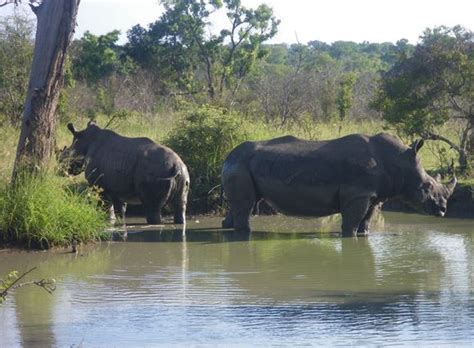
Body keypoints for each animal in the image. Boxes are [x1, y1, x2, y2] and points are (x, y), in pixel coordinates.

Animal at [60, 122, 190, 224]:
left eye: (66, 155)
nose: (60, 171)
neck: (85, 142)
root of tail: (177, 165)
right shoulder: (118, 187)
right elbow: (120, 209)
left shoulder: (98, 184)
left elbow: (106, 206)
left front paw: (108, 220)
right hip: (183, 173)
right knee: (180, 206)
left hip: (157, 172)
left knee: (152, 208)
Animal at [220, 133, 458, 237]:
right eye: (426, 187)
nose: (443, 210)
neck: (397, 161)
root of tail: (226, 157)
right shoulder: (358, 193)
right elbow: (351, 221)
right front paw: (350, 237)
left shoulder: (373, 195)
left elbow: (367, 219)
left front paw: (364, 235)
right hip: (240, 165)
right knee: (245, 205)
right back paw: (244, 234)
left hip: (243, 165)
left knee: (242, 203)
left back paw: (228, 228)